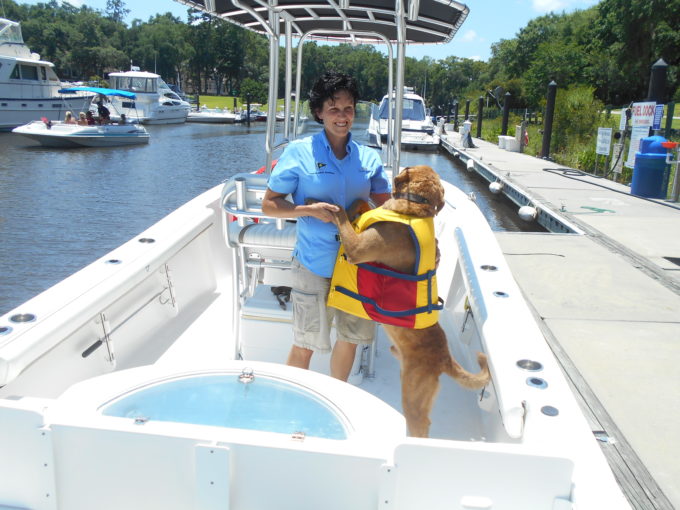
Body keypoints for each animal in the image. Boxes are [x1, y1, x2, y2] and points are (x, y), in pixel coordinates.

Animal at [334, 165, 488, 436]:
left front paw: (332, 206)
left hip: (414, 395)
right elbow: (365, 203)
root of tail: (446, 358)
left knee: (420, 424)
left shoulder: (358, 249)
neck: (415, 205)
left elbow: (341, 215)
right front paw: (357, 204)